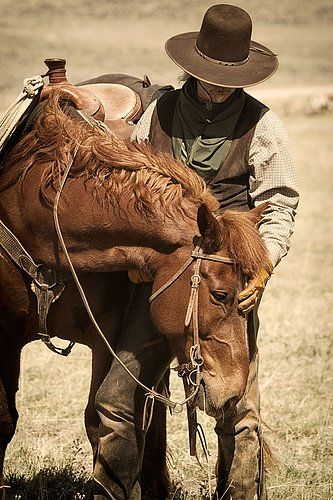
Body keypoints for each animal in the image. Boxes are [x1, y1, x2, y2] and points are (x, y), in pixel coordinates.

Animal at [0, 88, 270, 498]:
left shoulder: (107, 338)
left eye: (248, 297)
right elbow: (5, 421)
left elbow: (104, 420)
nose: (233, 390)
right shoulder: (2, 337)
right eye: (220, 295)